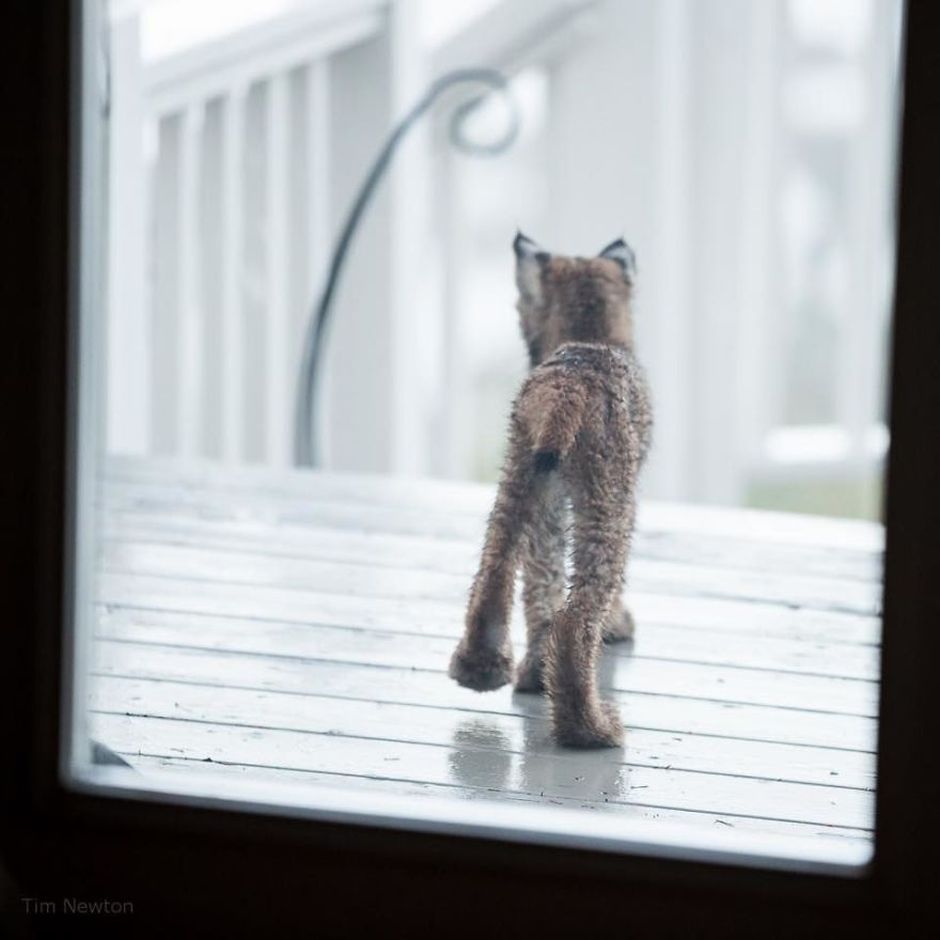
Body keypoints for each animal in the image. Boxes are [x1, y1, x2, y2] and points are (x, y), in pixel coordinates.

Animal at [448, 233, 652, 748]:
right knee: (576, 618)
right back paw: (590, 729)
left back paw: (480, 668)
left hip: (518, 475)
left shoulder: (549, 500)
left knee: (494, 574)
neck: (591, 332)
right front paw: (617, 625)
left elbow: (540, 583)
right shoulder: (621, 495)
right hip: (606, 499)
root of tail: (568, 384)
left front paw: (535, 673)